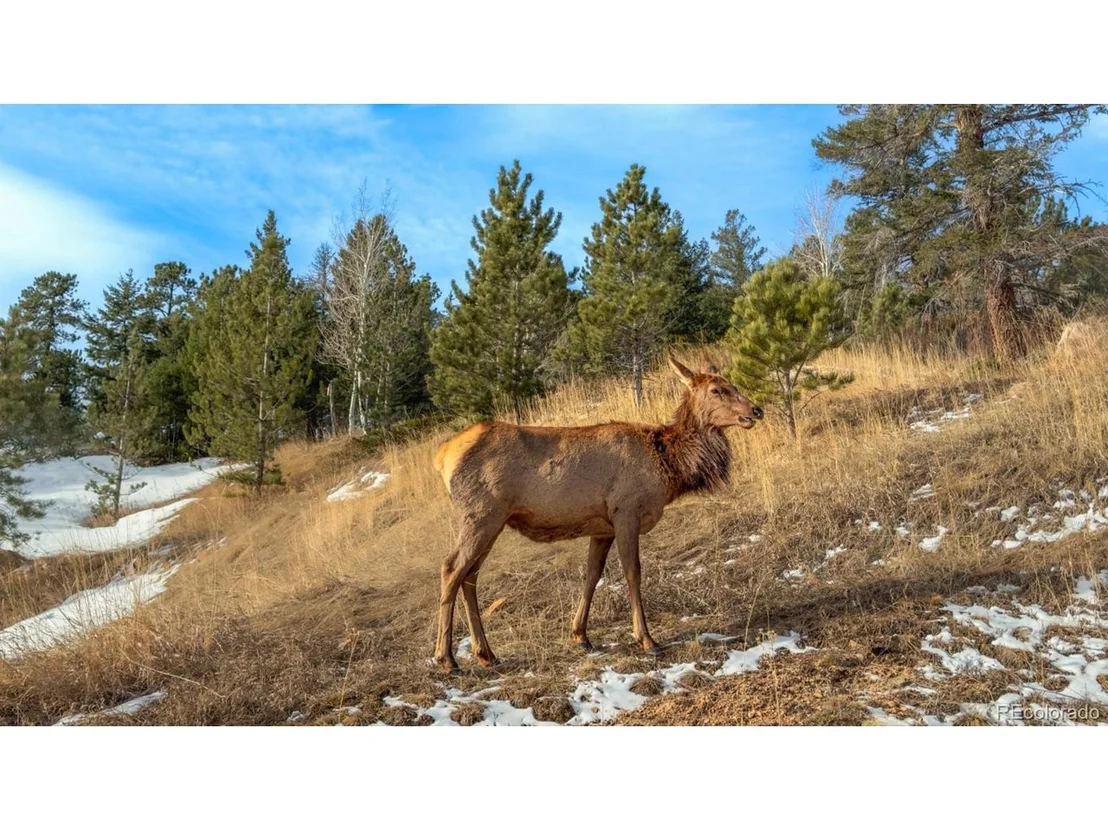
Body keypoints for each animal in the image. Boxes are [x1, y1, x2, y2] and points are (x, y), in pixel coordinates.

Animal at [430, 355, 764, 673]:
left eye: (732, 384)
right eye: (716, 389)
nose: (756, 410)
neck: (669, 465)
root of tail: (441, 456)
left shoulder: (602, 527)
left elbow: (592, 574)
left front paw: (580, 635)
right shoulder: (626, 511)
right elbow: (633, 572)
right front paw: (646, 639)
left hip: (494, 522)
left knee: (470, 575)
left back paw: (486, 654)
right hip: (480, 515)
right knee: (451, 568)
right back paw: (446, 659)